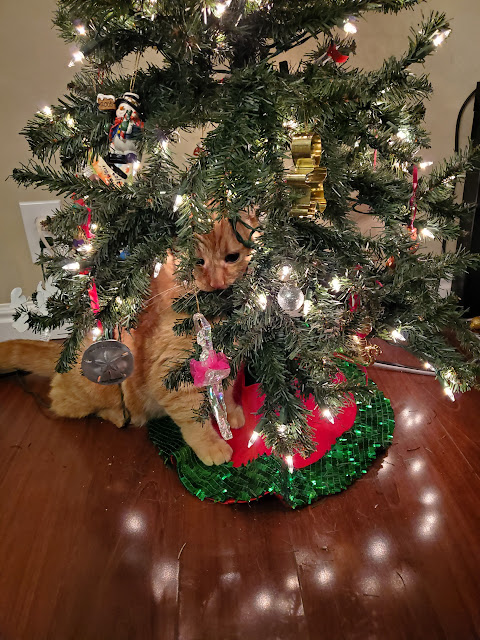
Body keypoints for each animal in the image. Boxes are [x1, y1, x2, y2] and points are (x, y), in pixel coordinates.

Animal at [0, 216, 256, 464]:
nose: (216, 282)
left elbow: (226, 393)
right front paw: (211, 445)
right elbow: (193, 420)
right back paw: (116, 415)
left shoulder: (228, 361)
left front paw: (231, 413)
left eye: (232, 258)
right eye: (198, 262)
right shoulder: (170, 375)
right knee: (60, 399)